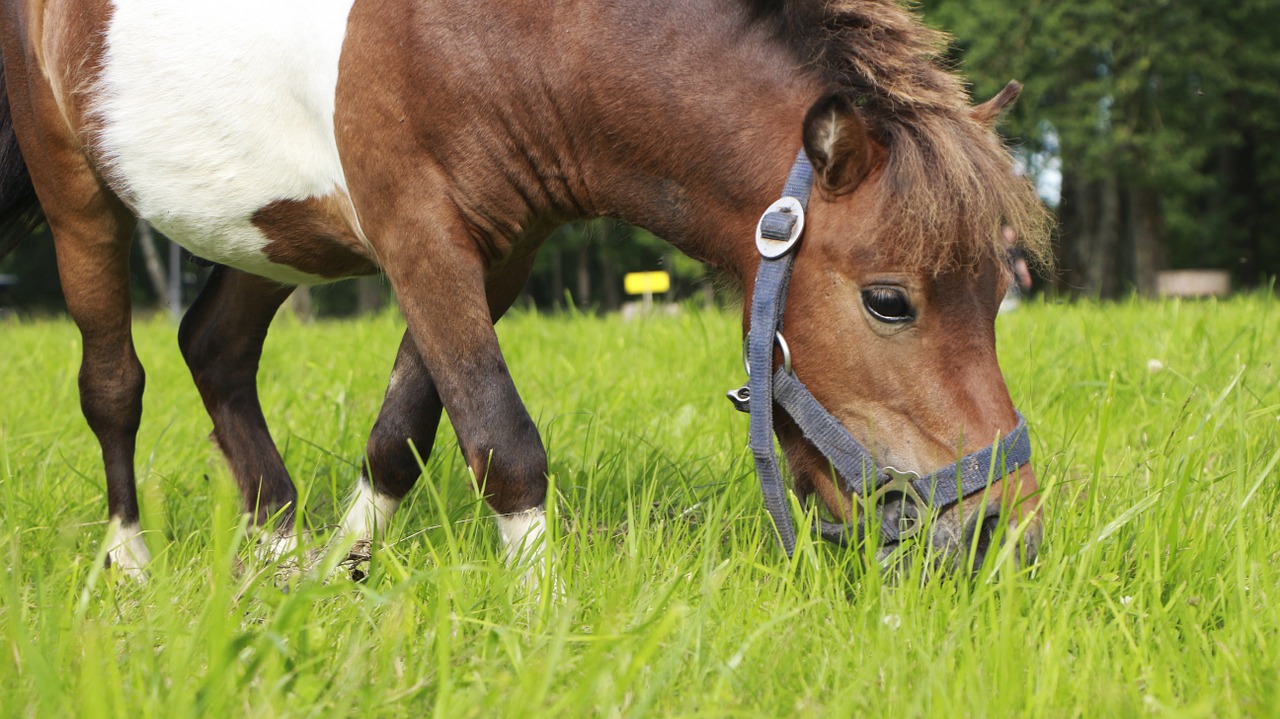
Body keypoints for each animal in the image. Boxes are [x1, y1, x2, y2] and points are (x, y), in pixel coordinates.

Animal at [0, 0, 1049, 573]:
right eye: (888, 300)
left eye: (1001, 290)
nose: (1007, 533)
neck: (512, 33)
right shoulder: (417, 233)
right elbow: (502, 441)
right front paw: (545, 618)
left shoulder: (496, 252)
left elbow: (401, 434)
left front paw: (340, 573)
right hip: (73, 188)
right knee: (114, 383)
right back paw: (127, 560)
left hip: (277, 236)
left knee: (213, 345)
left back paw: (276, 550)